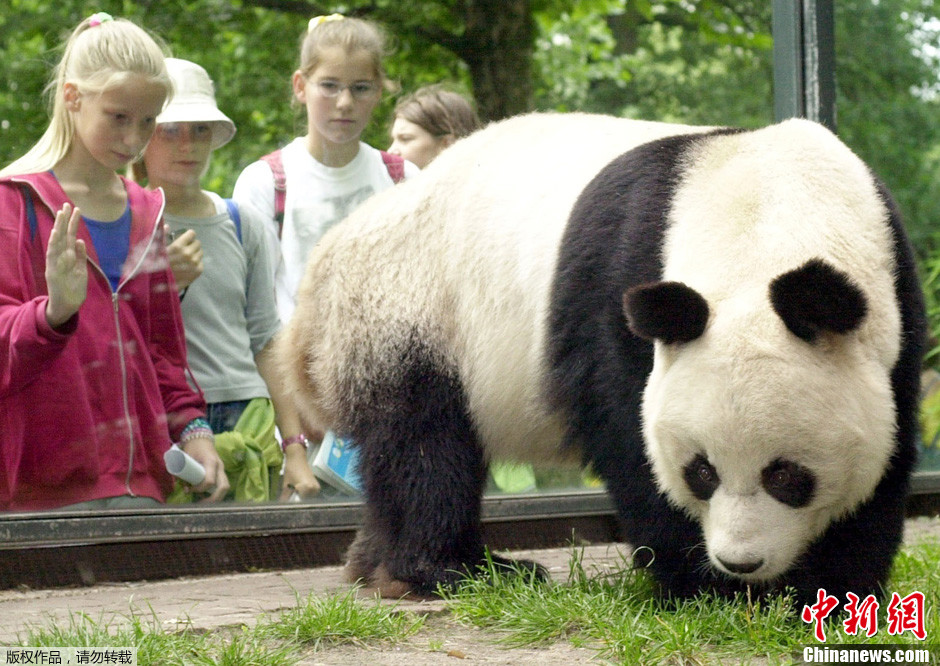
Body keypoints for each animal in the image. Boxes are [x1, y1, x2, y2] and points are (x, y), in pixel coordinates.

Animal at [278, 113, 924, 600]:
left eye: (787, 476)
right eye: (702, 472)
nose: (740, 562)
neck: (767, 211)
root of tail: (323, 266)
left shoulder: (895, 296)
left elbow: (888, 444)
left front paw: (832, 585)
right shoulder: (621, 285)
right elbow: (626, 427)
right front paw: (706, 587)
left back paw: (377, 565)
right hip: (411, 311)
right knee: (426, 448)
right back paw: (457, 570)